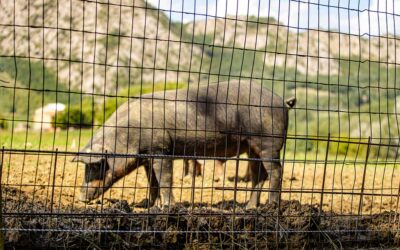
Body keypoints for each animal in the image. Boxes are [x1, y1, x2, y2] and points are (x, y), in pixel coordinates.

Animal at [73, 80, 296, 209]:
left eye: (97, 166)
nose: (81, 198)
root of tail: (282, 101)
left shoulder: (161, 149)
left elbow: (164, 179)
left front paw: (168, 208)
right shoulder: (147, 157)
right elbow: (152, 183)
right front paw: (145, 206)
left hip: (268, 142)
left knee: (276, 171)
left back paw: (271, 206)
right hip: (252, 147)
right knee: (260, 175)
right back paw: (249, 208)